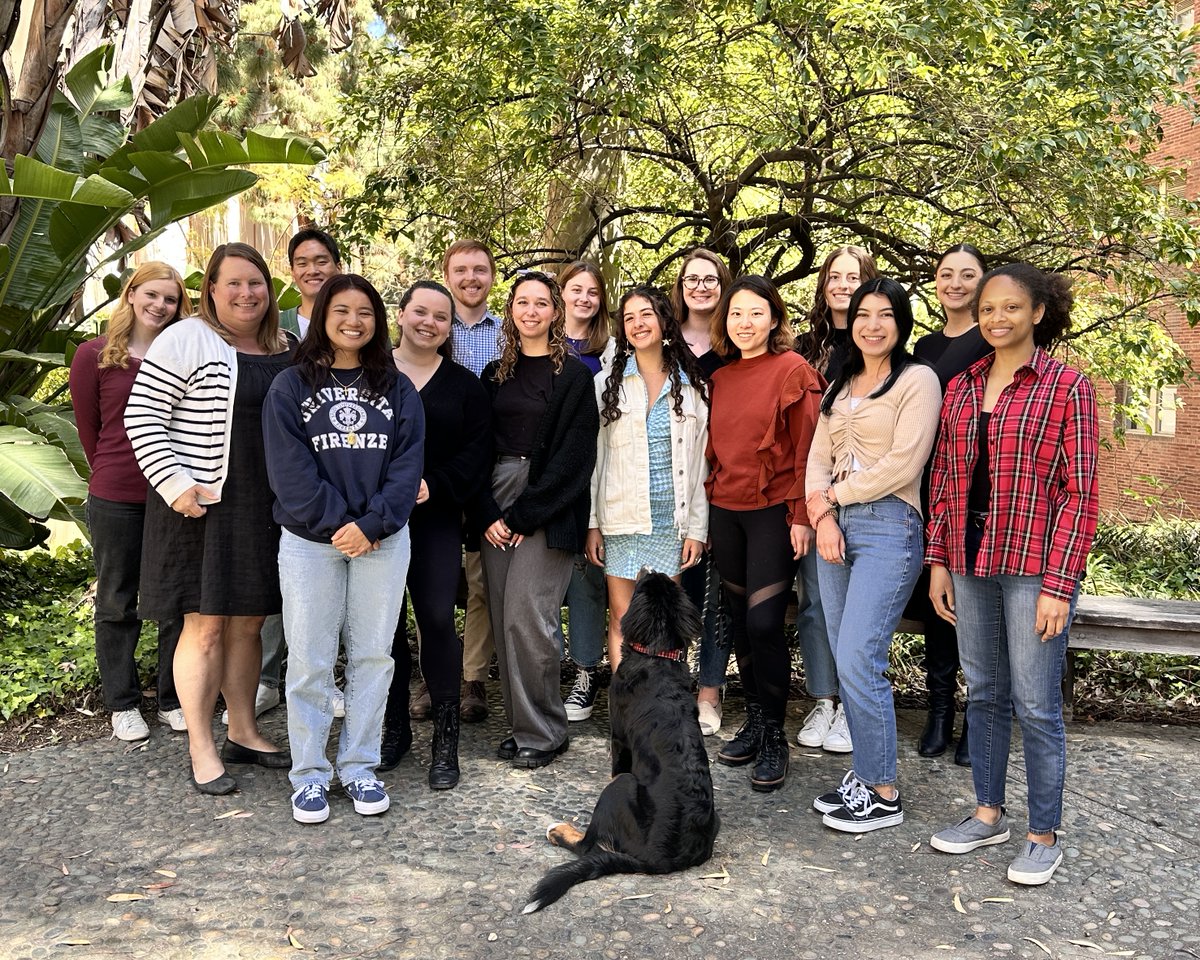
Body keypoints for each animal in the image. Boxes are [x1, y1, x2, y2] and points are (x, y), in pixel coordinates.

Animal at [523, 573, 710, 912]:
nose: (647, 568)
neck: (656, 655)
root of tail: (658, 860)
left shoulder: (619, 738)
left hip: (621, 785)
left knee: (587, 846)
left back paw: (559, 830)